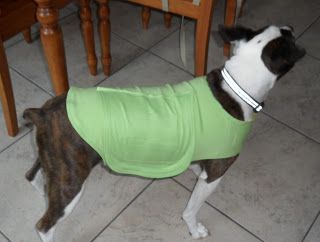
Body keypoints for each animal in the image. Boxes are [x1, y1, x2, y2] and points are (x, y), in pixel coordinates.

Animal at [22, 25, 304, 241]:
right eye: (289, 36)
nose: (291, 27)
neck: (237, 86)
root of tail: (42, 112)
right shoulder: (216, 174)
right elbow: (191, 208)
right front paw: (194, 229)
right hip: (71, 181)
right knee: (44, 225)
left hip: (53, 160)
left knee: (33, 178)